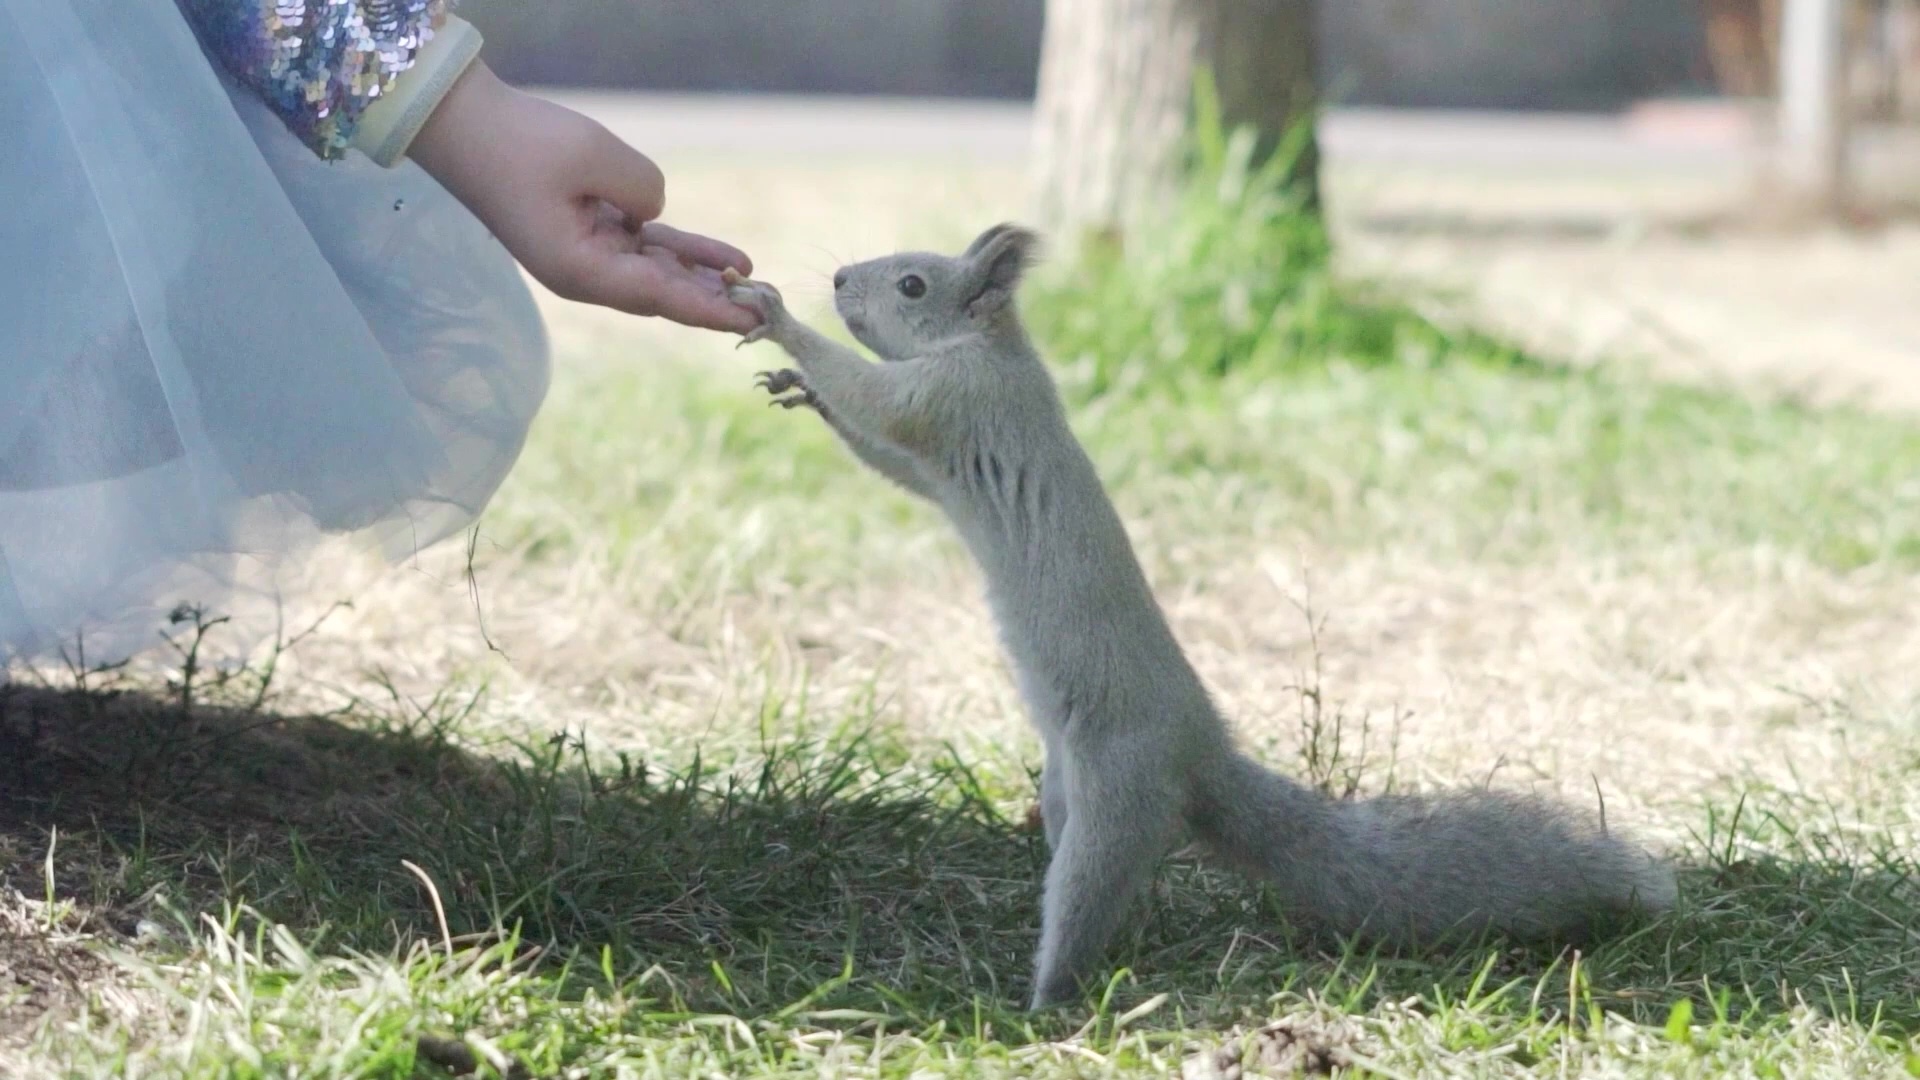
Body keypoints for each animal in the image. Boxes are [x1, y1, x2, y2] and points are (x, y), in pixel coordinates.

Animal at [718, 222, 1666, 1006]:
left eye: (913, 284)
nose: (839, 278)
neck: (990, 345)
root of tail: (1203, 756)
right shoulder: (939, 457)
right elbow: (890, 457)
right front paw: (800, 387)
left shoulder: (956, 399)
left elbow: (884, 407)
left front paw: (782, 322)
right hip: (1066, 793)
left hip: (1118, 794)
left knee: (1086, 901)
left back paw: (1043, 1001)